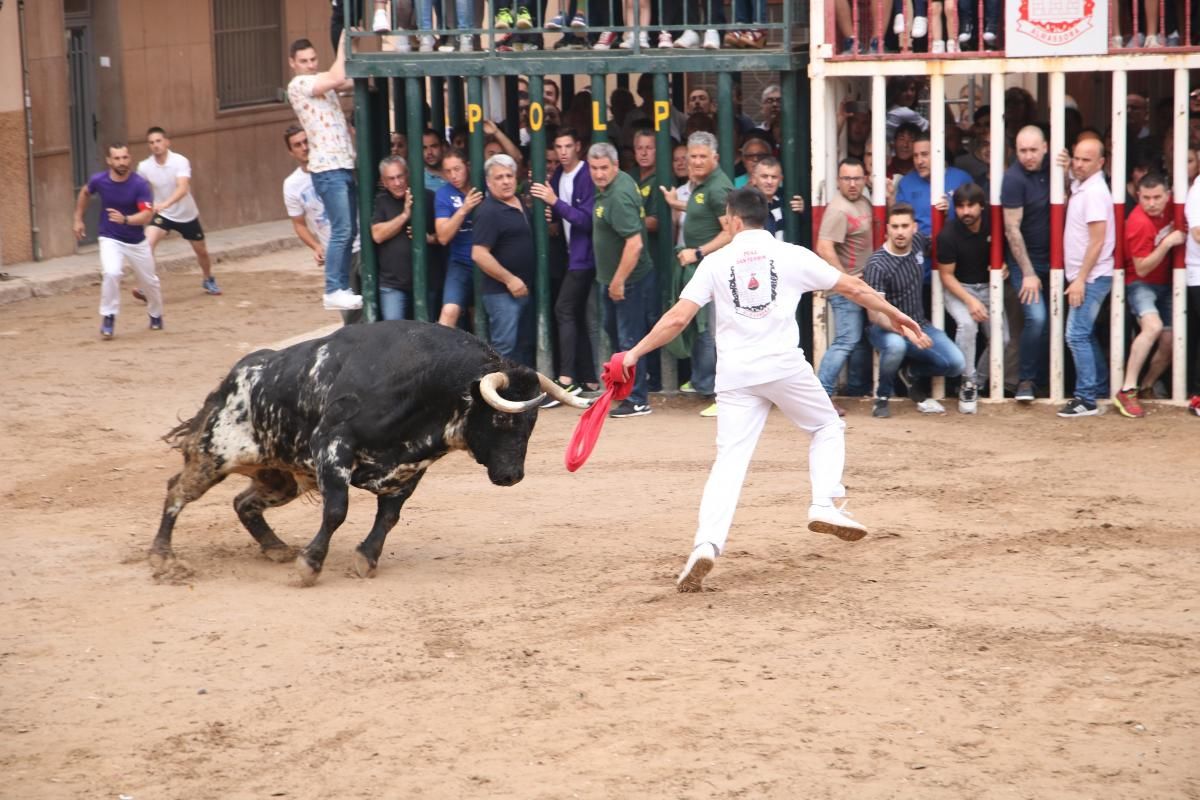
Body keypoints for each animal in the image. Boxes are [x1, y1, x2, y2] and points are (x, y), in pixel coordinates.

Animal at [147, 321, 588, 587]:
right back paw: (163, 558)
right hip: (215, 454)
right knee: (175, 491)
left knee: (243, 503)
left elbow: (389, 517)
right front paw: (310, 564)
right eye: (500, 420)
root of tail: (233, 378)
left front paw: (365, 559)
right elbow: (336, 511)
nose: (513, 475)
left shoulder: (408, 470)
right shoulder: (331, 448)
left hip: (280, 478)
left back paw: (274, 548)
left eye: (531, 423)